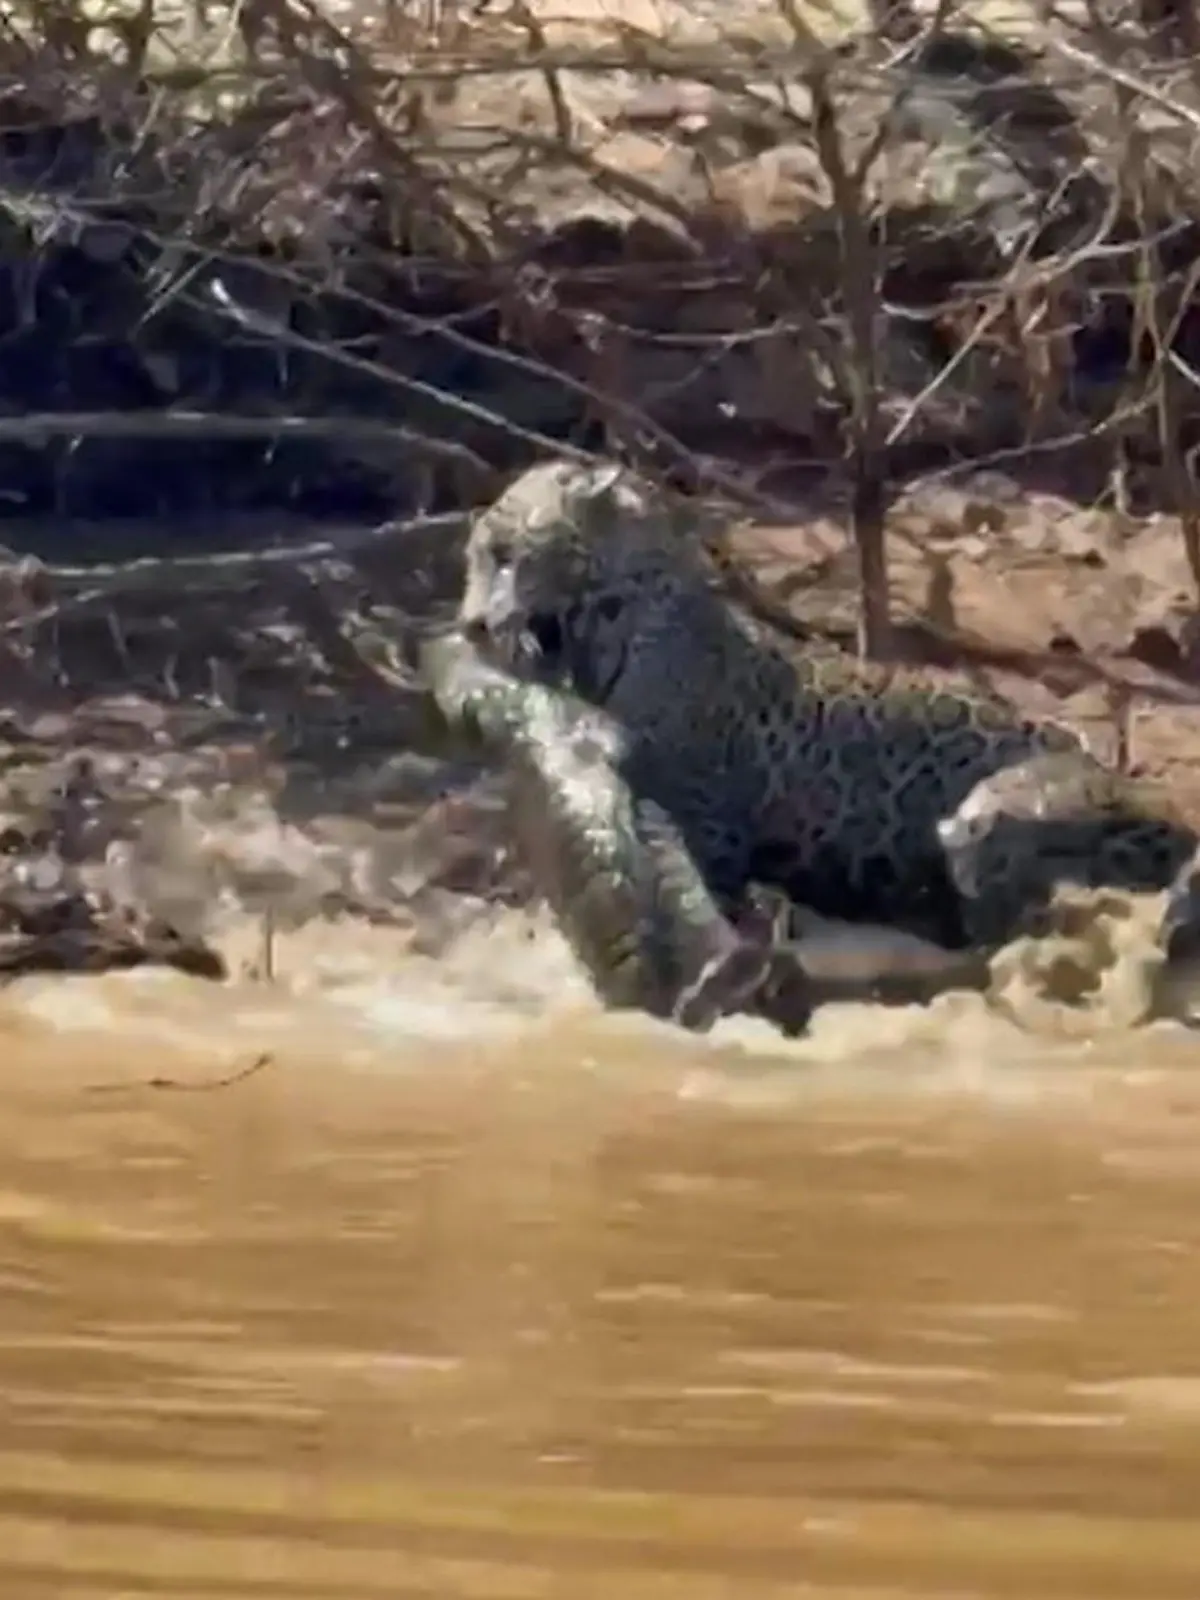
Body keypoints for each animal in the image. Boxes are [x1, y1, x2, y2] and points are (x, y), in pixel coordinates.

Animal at [457, 455, 1200, 972]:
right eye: (477, 558)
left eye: (505, 556)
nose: (469, 626)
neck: (600, 622)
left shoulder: (708, 818)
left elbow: (706, 886)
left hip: (1010, 809)